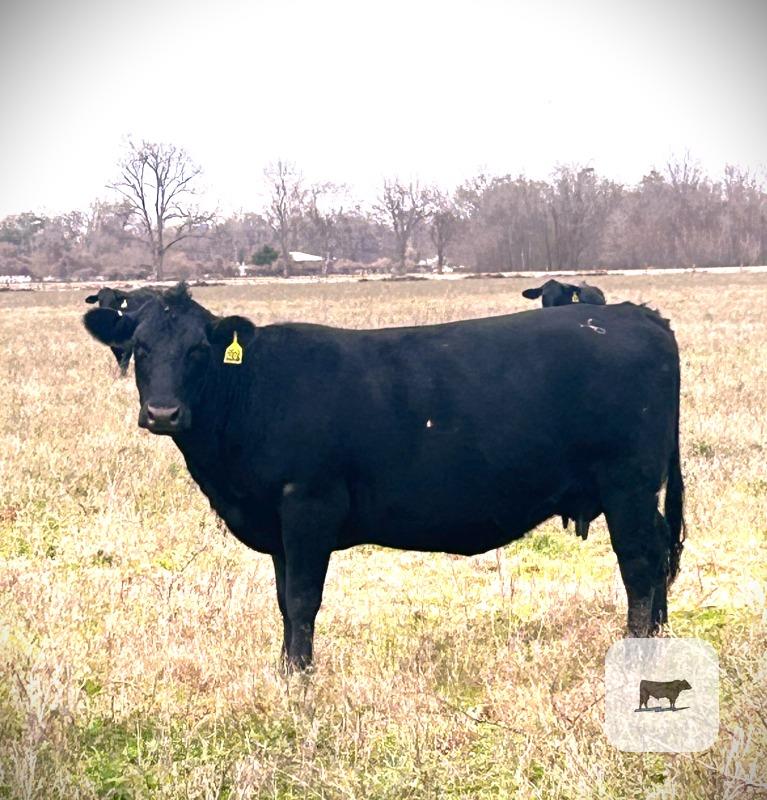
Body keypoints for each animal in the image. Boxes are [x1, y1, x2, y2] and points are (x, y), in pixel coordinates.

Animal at [83, 283, 684, 671]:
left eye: (197, 350)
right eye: (139, 349)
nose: (163, 413)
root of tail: (637, 314)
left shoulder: (308, 506)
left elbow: (302, 598)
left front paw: (299, 679)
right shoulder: (278, 526)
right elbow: (283, 600)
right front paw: (285, 668)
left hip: (626, 485)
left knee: (639, 563)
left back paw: (637, 652)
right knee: (658, 557)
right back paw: (658, 641)